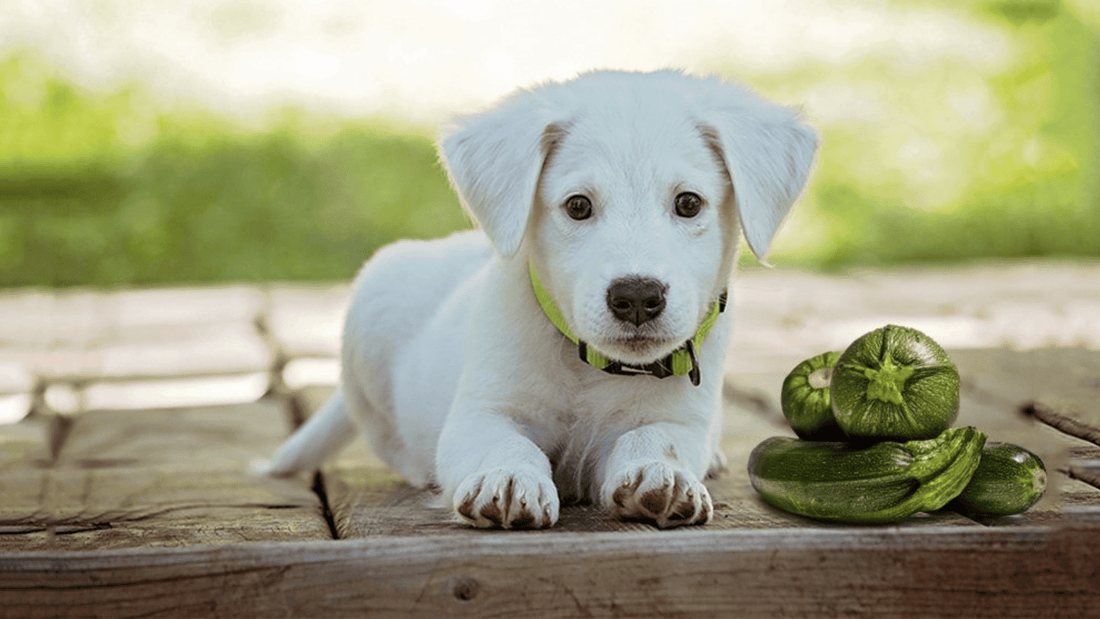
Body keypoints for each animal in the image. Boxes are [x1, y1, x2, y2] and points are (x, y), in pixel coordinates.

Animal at [266, 70, 818, 529]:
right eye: (577, 206)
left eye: (688, 203)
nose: (637, 297)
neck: (589, 367)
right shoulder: (481, 413)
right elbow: (504, 443)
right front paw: (508, 478)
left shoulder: (681, 419)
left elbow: (656, 438)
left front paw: (660, 475)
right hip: (374, 306)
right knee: (387, 437)